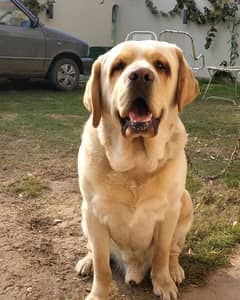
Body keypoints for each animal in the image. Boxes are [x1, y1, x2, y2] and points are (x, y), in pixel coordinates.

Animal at [76, 40, 199, 300]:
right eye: (118, 66)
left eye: (161, 65)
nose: (141, 75)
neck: (136, 166)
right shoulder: (94, 213)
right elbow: (102, 263)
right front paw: (99, 293)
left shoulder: (168, 213)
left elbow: (161, 253)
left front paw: (163, 283)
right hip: (83, 212)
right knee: (92, 250)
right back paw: (86, 261)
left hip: (186, 203)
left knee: (173, 251)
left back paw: (174, 270)